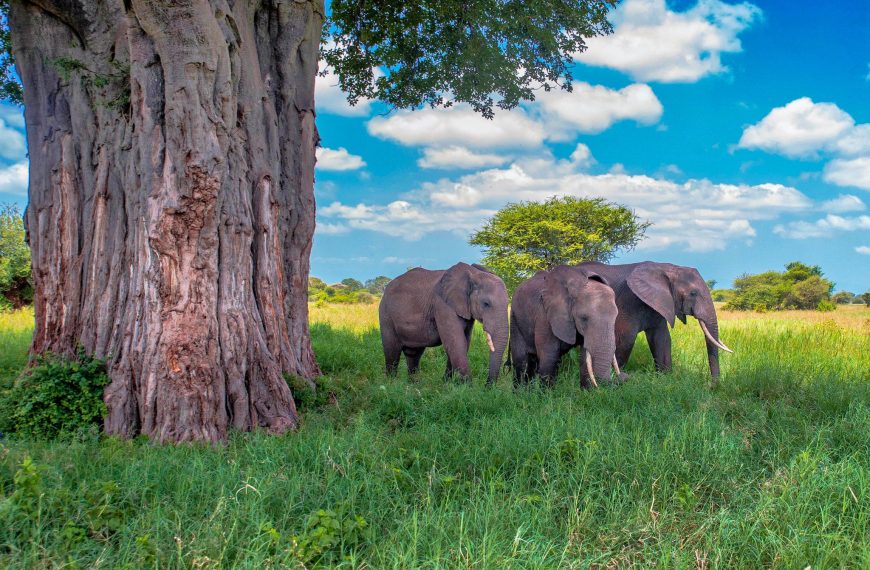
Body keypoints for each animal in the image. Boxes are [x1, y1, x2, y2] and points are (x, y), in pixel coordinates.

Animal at [379, 262, 509, 384]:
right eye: (486, 304)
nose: (487, 386)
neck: (473, 273)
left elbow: (465, 341)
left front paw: (447, 383)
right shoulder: (442, 304)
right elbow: (456, 341)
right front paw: (468, 387)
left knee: (413, 353)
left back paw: (413, 384)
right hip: (386, 315)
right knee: (392, 350)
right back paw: (391, 384)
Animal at [575, 261, 733, 387]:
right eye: (693, 293)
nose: (711, 385)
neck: (668, 268)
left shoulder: (661, 302)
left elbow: (661, 338)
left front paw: (665, 379)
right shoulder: (628, 301)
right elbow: (626, 339)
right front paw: (616, 378)